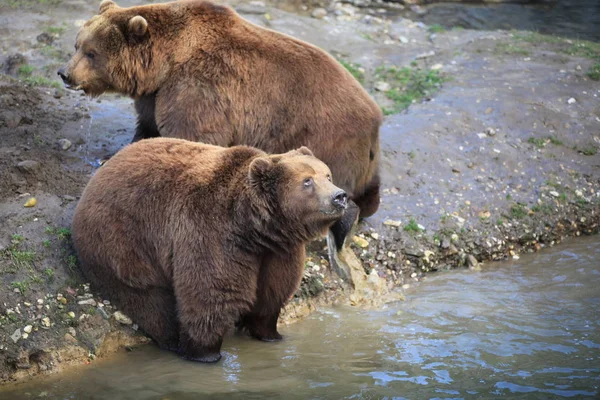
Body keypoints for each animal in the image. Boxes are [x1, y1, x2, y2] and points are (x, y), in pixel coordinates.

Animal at [58, 0, 382, 266]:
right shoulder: (156, 93)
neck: (167, 60)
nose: (65, 73)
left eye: (92, 53)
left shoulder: (198, 89)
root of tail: (375, 119)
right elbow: (148, 126)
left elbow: (190, 134)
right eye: (77, 45)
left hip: (326, 136)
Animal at [71, 139, 346, 364]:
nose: (339, 196)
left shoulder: (279, 252)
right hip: (123, 238)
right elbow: (210, 295)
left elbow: (272, 291)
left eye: (328, 175)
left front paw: (271, 334)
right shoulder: (209, 232)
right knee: (148, 297)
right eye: (307, 181)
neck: (253, 230)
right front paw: (205, 353)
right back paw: (173, 341)